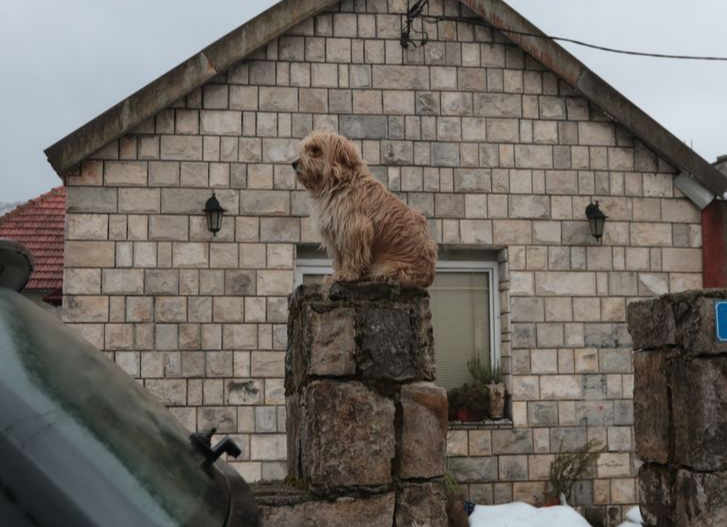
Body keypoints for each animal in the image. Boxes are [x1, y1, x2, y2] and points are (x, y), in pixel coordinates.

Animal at [292, 132, 438, 288]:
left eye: (315, 149)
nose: (293, 163)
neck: (339, 181)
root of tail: (428, 276)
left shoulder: (355, 228)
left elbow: (352, 255)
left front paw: (346, 274)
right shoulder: (335, 232)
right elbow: (339, 258)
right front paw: (336, 274)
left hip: (389, 267)